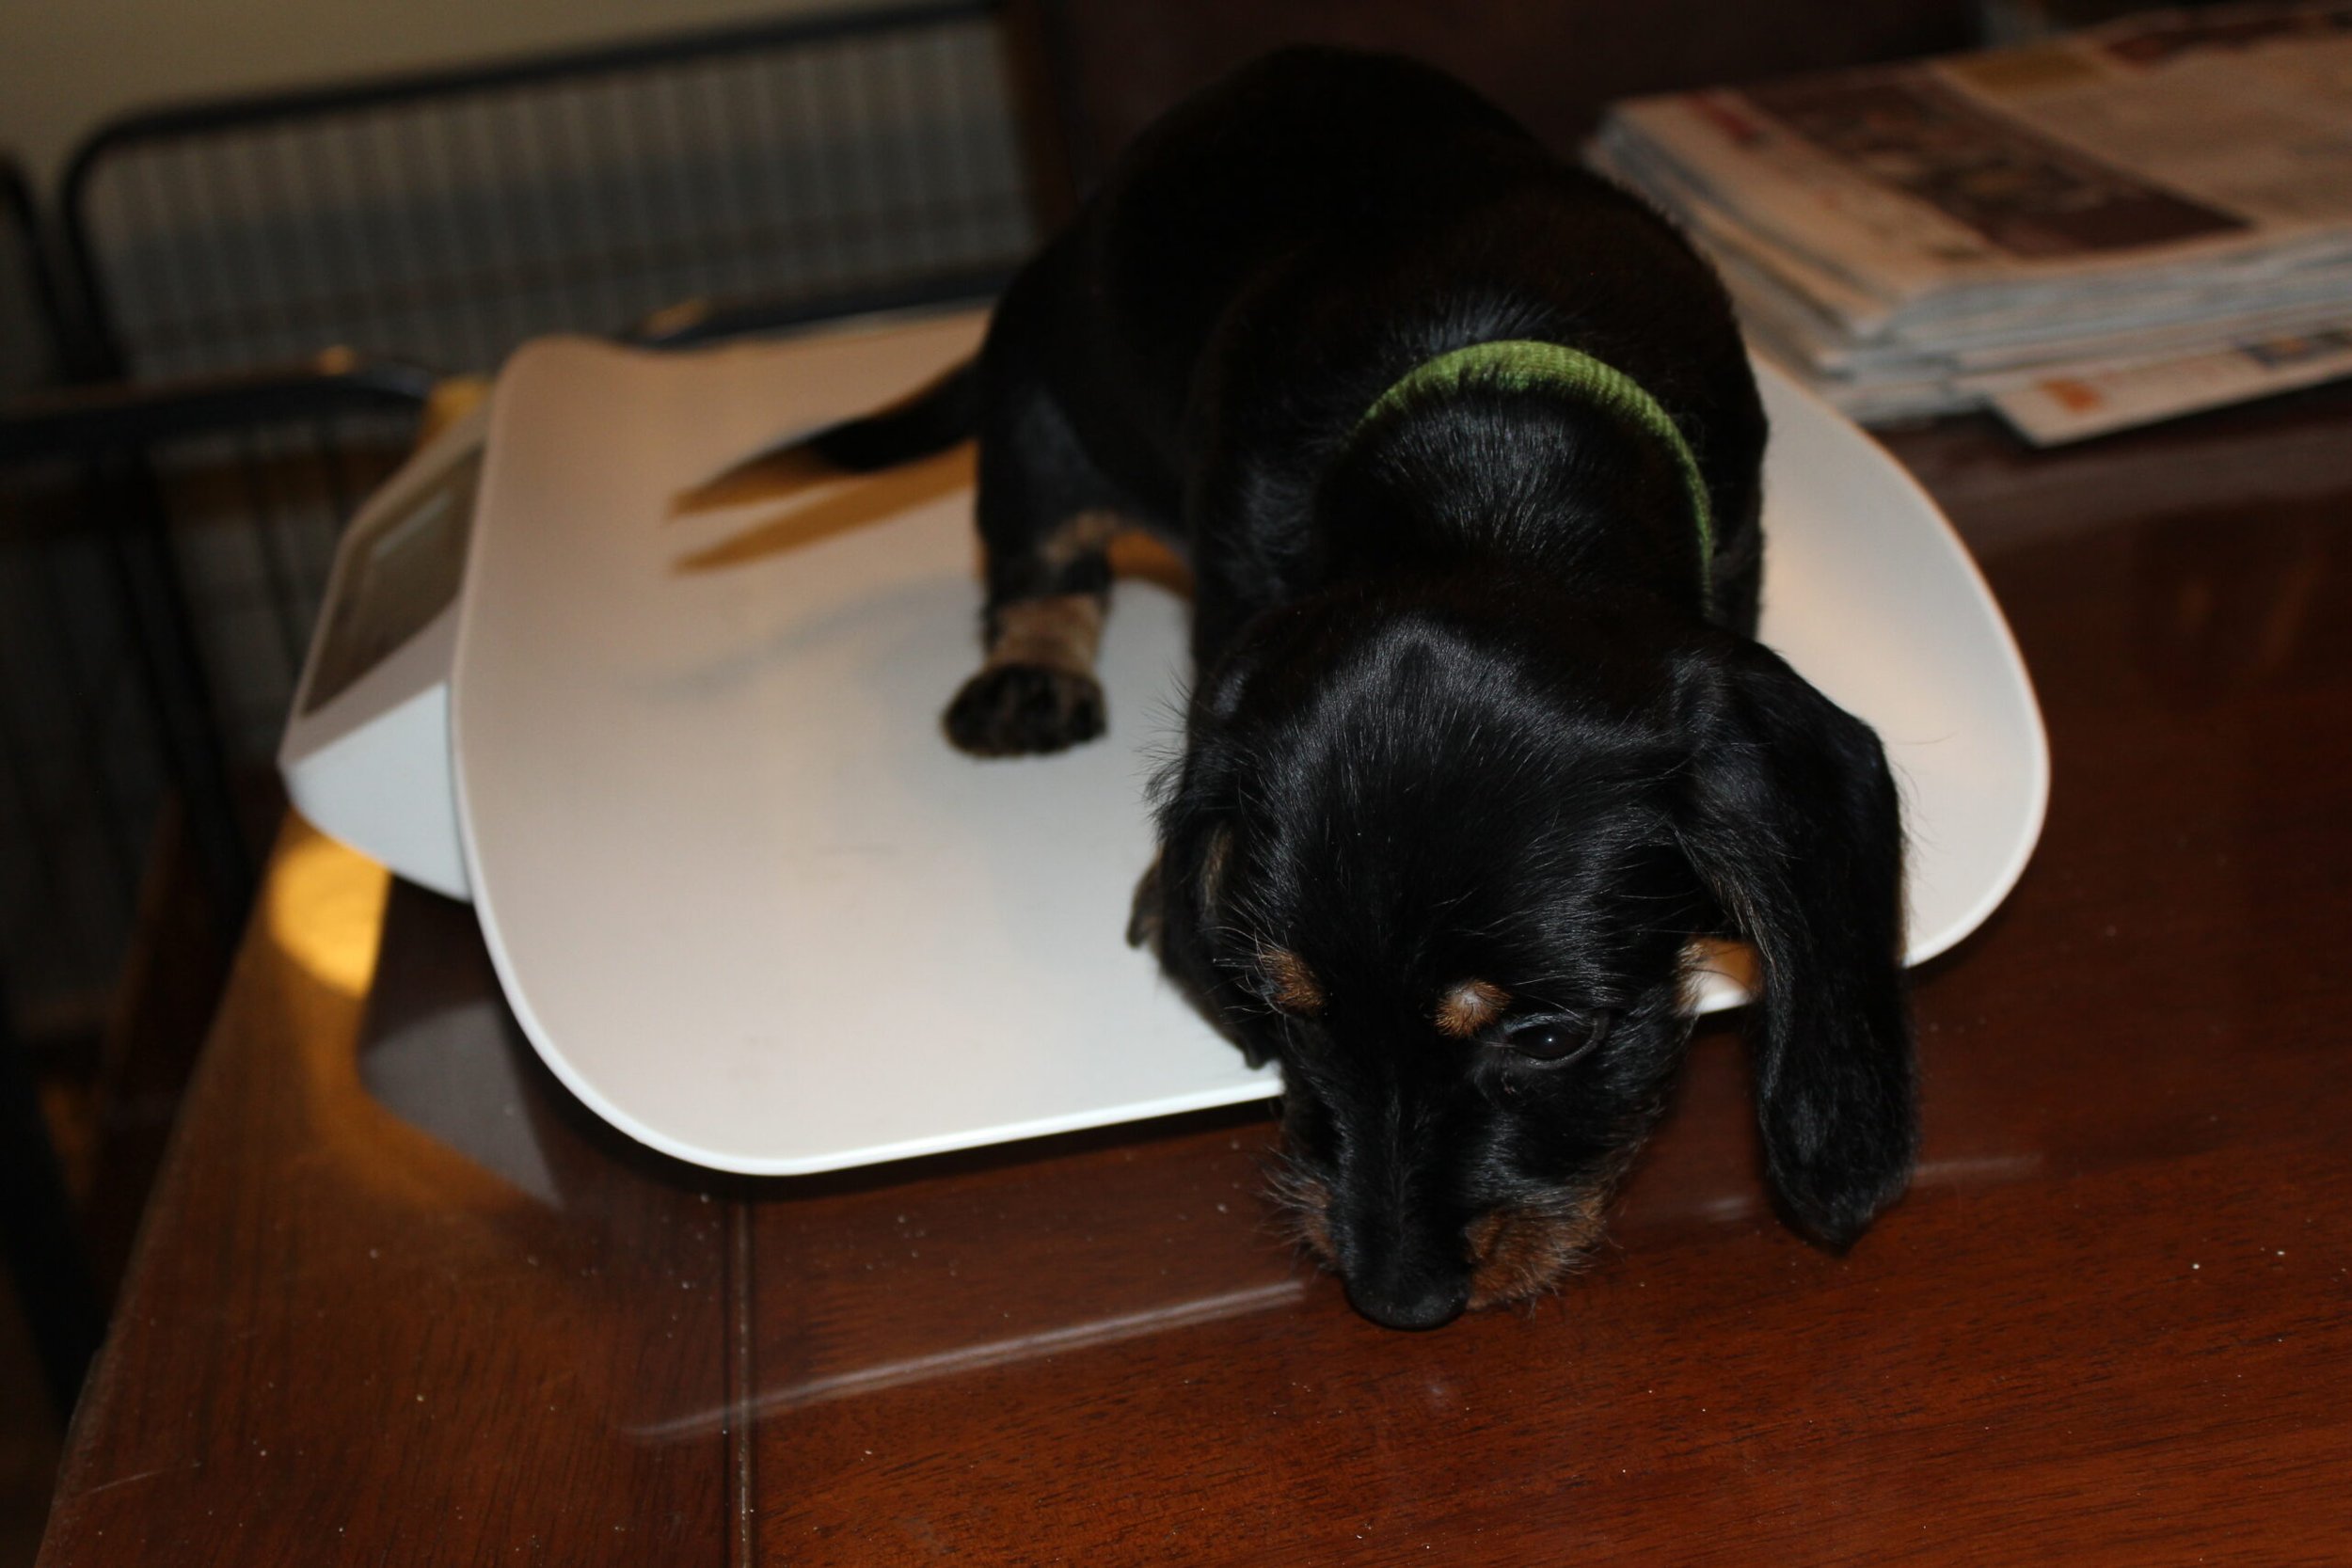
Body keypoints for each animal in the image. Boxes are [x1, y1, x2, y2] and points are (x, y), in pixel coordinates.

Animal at [800, 47, 1913, 1329]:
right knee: (1043, 554)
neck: (1495, 473)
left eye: (1548, 1035)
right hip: (1039, 407)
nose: (1398, 1300)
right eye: (1286, 1007)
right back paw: (1028, 672)